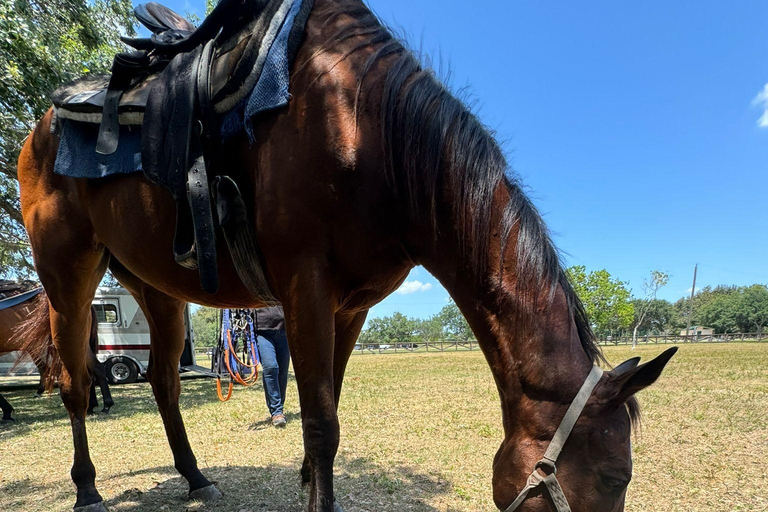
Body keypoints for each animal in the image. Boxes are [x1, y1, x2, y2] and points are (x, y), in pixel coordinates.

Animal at [15, 2, 676, 510]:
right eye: (614, 476)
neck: (362, 124)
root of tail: (43, 127)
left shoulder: (350, 306)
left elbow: (324, 413)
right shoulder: (306, 287)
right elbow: (320, 424)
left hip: (157, 288)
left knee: (162, 382)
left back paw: (195, 477)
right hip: (69, 279)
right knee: (76, 383)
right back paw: (87, 490)